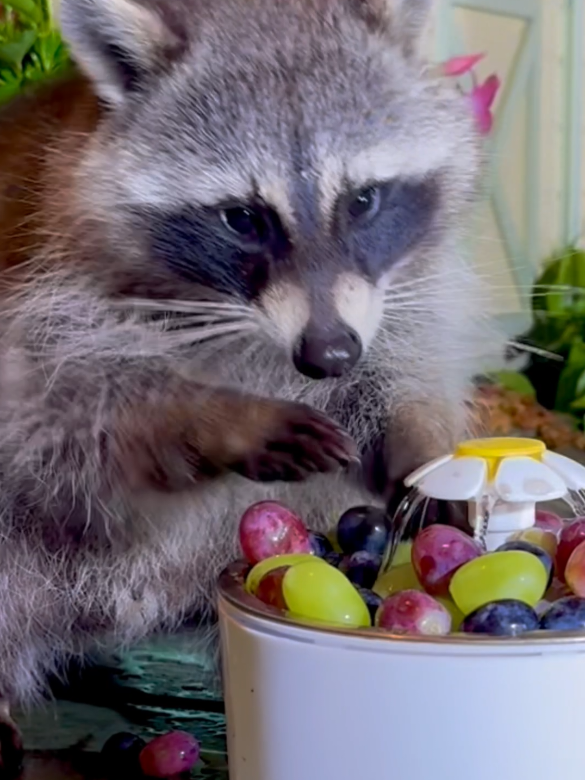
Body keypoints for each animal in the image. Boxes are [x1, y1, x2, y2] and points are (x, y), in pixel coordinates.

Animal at [0, 0, 497, 768]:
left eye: (362, 200)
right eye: (242, 218)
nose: (328, 353)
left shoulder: (406, 294)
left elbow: (402, 376)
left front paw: (424, 447)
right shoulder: (41, 291)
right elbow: (64, 429)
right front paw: (206, 417)